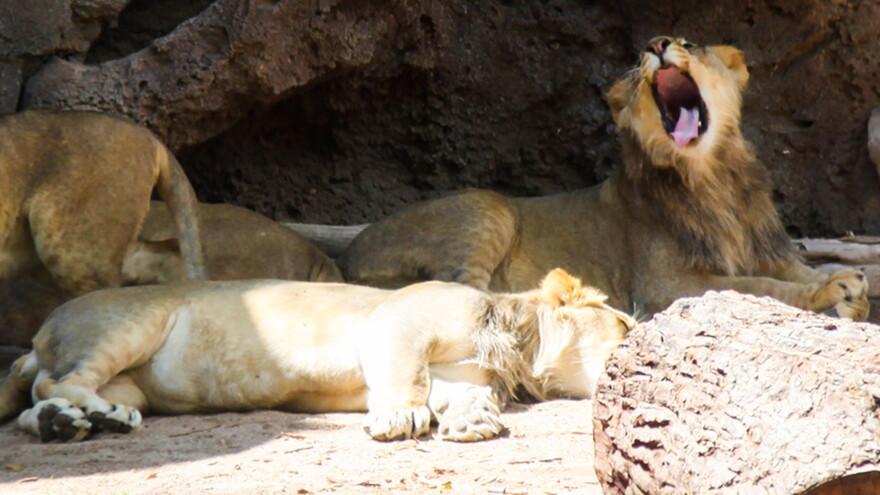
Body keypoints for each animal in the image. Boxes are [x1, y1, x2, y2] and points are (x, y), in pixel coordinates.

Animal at [0, 269, 634, 443]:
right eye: (626, 323)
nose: (640, 325)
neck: (516, 347)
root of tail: (37, 335)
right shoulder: (395, 320)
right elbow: (405, 378)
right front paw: (399, 418)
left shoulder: (458, 372)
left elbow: (464, 392)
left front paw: (475, 419)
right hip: (130, 322)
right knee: (49, 382)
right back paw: (96, 417)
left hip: (129, 377)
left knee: (36, 402)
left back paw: (69, 425)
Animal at [337, 37, 869, 320]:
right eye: (639, 58)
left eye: (689, 44)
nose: (656, 44)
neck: (714, 177)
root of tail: (348, 260)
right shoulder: (664, 284)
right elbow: (760, 287)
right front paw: (830, 293)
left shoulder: (768, 252)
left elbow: (794, 271)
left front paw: (850, 284)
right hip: (489, 207)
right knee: (468, 291)